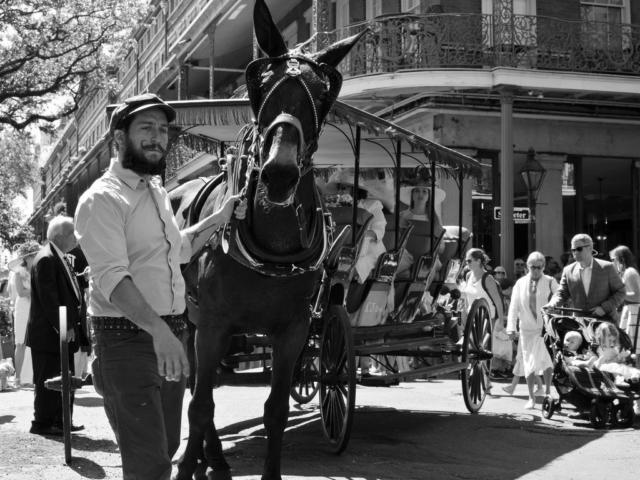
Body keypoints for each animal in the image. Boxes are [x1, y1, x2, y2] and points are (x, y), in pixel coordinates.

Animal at [170, 1, 368, 478]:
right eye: (260, 85)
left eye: (322, 93)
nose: (279, 175)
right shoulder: (214, 325)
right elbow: (200, 407)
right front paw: (188, 464)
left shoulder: (293, 329)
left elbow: (276, 409)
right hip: (189, 321)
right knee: (196, 391)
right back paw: (204, 459)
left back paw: (213, 460)